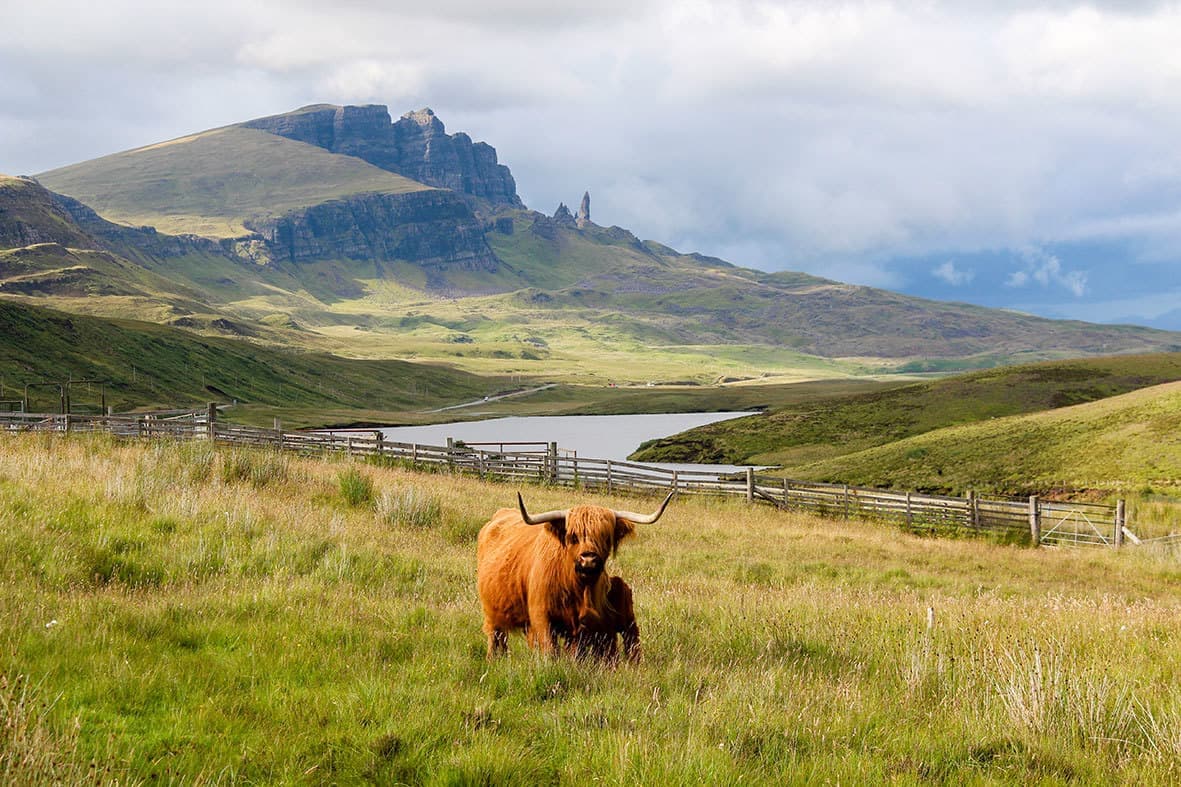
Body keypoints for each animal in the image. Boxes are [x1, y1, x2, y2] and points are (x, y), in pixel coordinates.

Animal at [476, 490, 673, 661]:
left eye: (605, 537)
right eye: (573, 536)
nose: (589, 559)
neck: (575, 587)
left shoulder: (582, 626)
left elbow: (576, 654)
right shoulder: (541, 617)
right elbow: (550, 651)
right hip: (491, 613)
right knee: (496, 638)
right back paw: (493, 660)